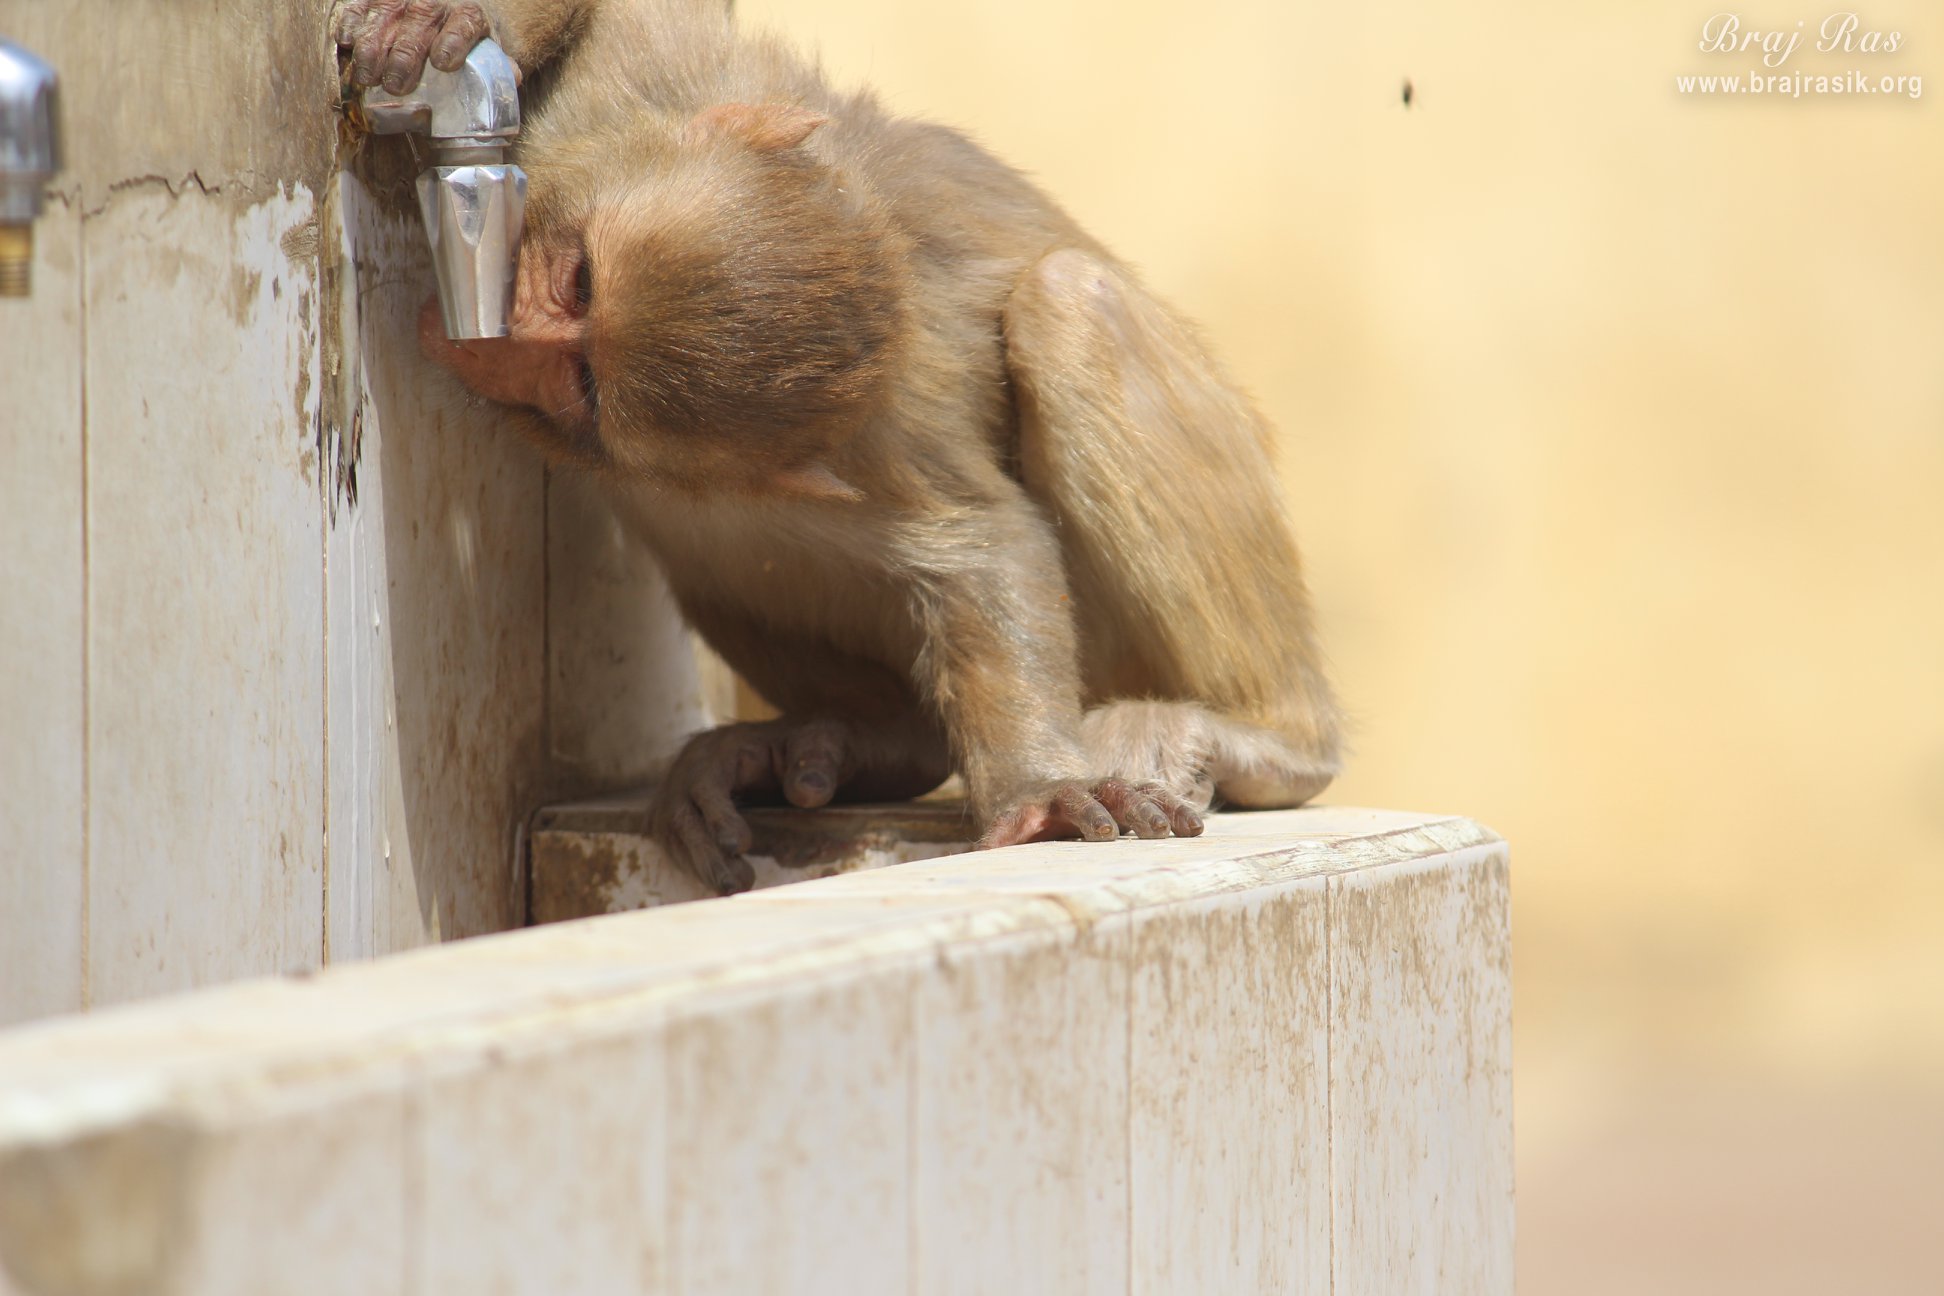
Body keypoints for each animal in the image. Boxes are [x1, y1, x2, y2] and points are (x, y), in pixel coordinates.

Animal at [335, 0, 1344, 895]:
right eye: (579, 277)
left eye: (581, 374)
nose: (497, 338)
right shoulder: (643, 85)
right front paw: (448, 25)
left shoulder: (880, 433)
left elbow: (983, 545)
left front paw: (1039, 792)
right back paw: (864, 741)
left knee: (1067, 305)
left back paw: (1273, 743)